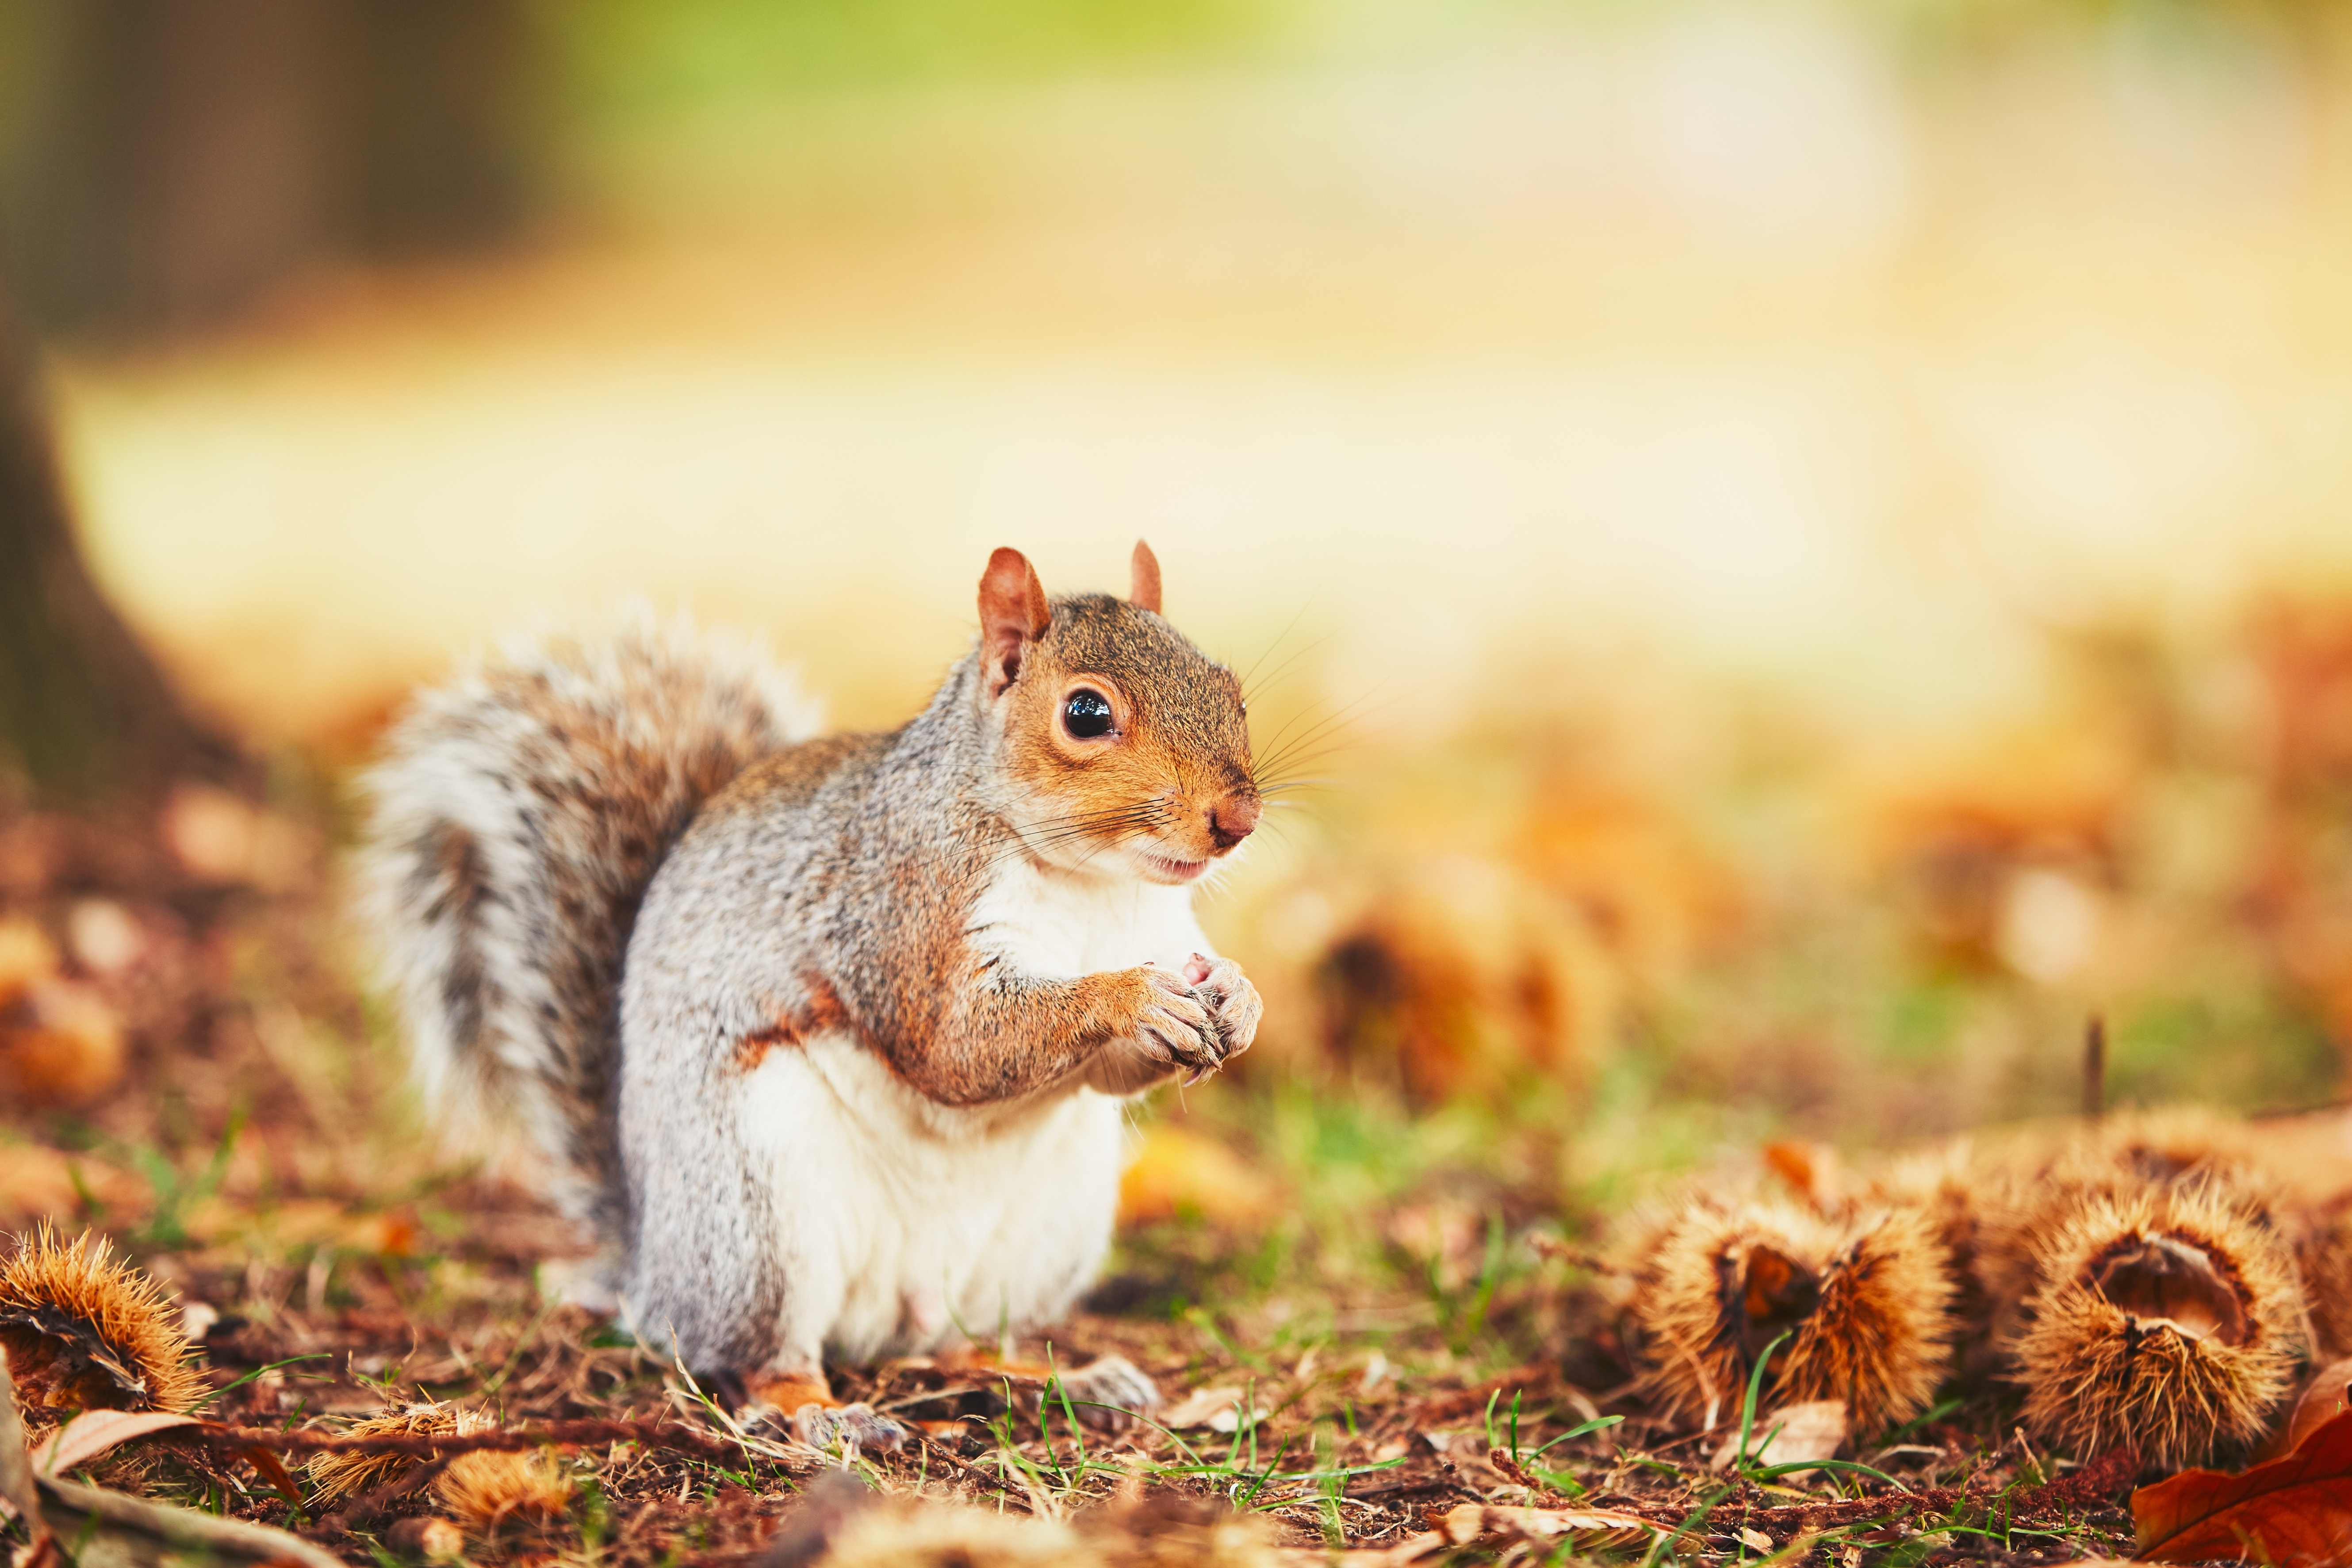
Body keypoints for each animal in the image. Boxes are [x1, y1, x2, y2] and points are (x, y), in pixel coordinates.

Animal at [361, 542, 1264, 1448]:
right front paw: (1131, 999)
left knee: (961, 1345)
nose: (1237, 821)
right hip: (756, 1218)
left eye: (1232, 691)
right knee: (760, 1358)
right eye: (1084, 713)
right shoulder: (903, 912)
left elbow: (1115, 1058)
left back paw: (1068, 1376)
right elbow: (955, 1047)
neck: (1091, 883)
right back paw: (825, 1415)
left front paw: (1239, 996)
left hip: (1046, 1231)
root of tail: (648, 1265)